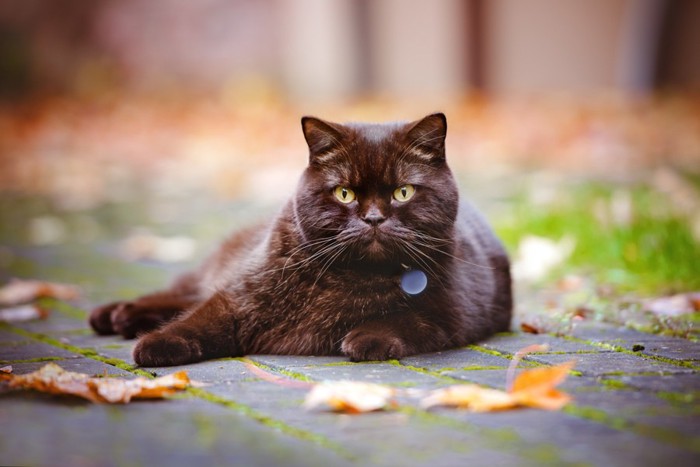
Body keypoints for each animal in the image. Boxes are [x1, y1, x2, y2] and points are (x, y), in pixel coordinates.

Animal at [90, 112, 512, 366]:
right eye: (344, 193)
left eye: (402, 192)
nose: (374, 218)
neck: (352, 276)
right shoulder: (241, 296)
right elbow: (202, 318)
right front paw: (158, 344)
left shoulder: (451, 315)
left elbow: (406, 319)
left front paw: (367, 337)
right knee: (187, 293)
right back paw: (116, 314)